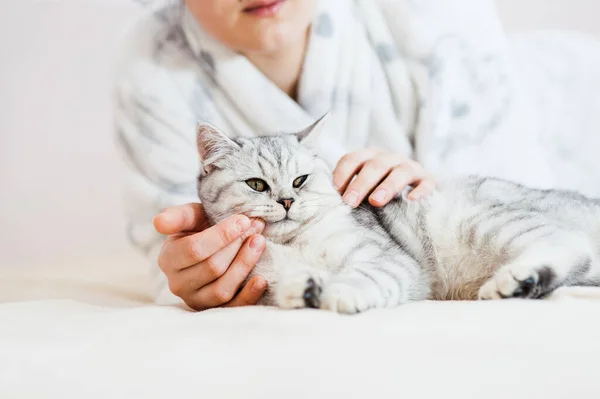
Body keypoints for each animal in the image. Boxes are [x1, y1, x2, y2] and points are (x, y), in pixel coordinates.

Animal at [196, 117, 600, 314]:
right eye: (256, 185)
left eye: (300, 180)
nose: (286, 201)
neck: (294, 245)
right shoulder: (266, 283)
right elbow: (288, 288)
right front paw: (307, 289)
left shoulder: (385, 257)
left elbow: (363, 276)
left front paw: (339, 292)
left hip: (482, 222)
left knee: (570, 244)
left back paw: (513, 280)